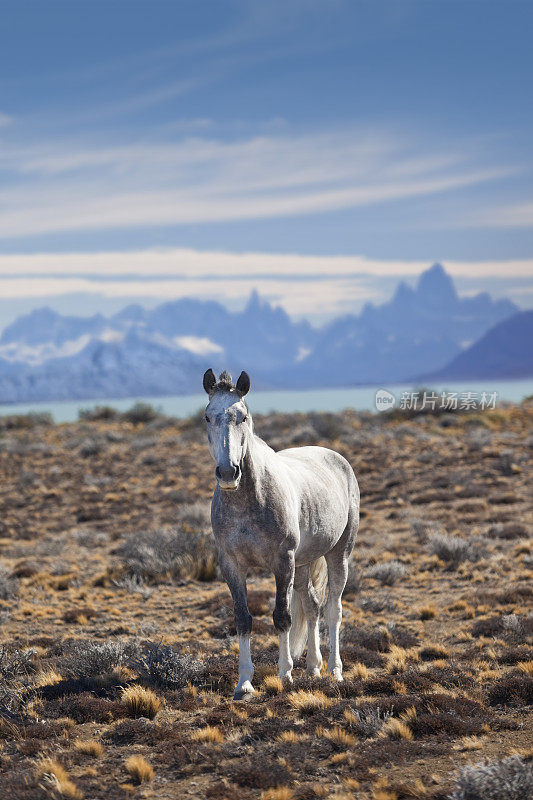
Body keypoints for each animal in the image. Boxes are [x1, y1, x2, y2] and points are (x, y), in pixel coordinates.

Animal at [202, 370, 360, 700]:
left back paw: (335, 671)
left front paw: (285, 675)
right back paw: (313, 668)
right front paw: (244, 683)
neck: (249, 500)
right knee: (312, 606)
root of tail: (336, 458)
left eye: (243, 416)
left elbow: (282, 617)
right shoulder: (231, 565)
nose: (228, 473)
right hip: (303, 564)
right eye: (208, 417)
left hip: (338, 554)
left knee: (333, 609)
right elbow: (243, 619)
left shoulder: (282, 562)